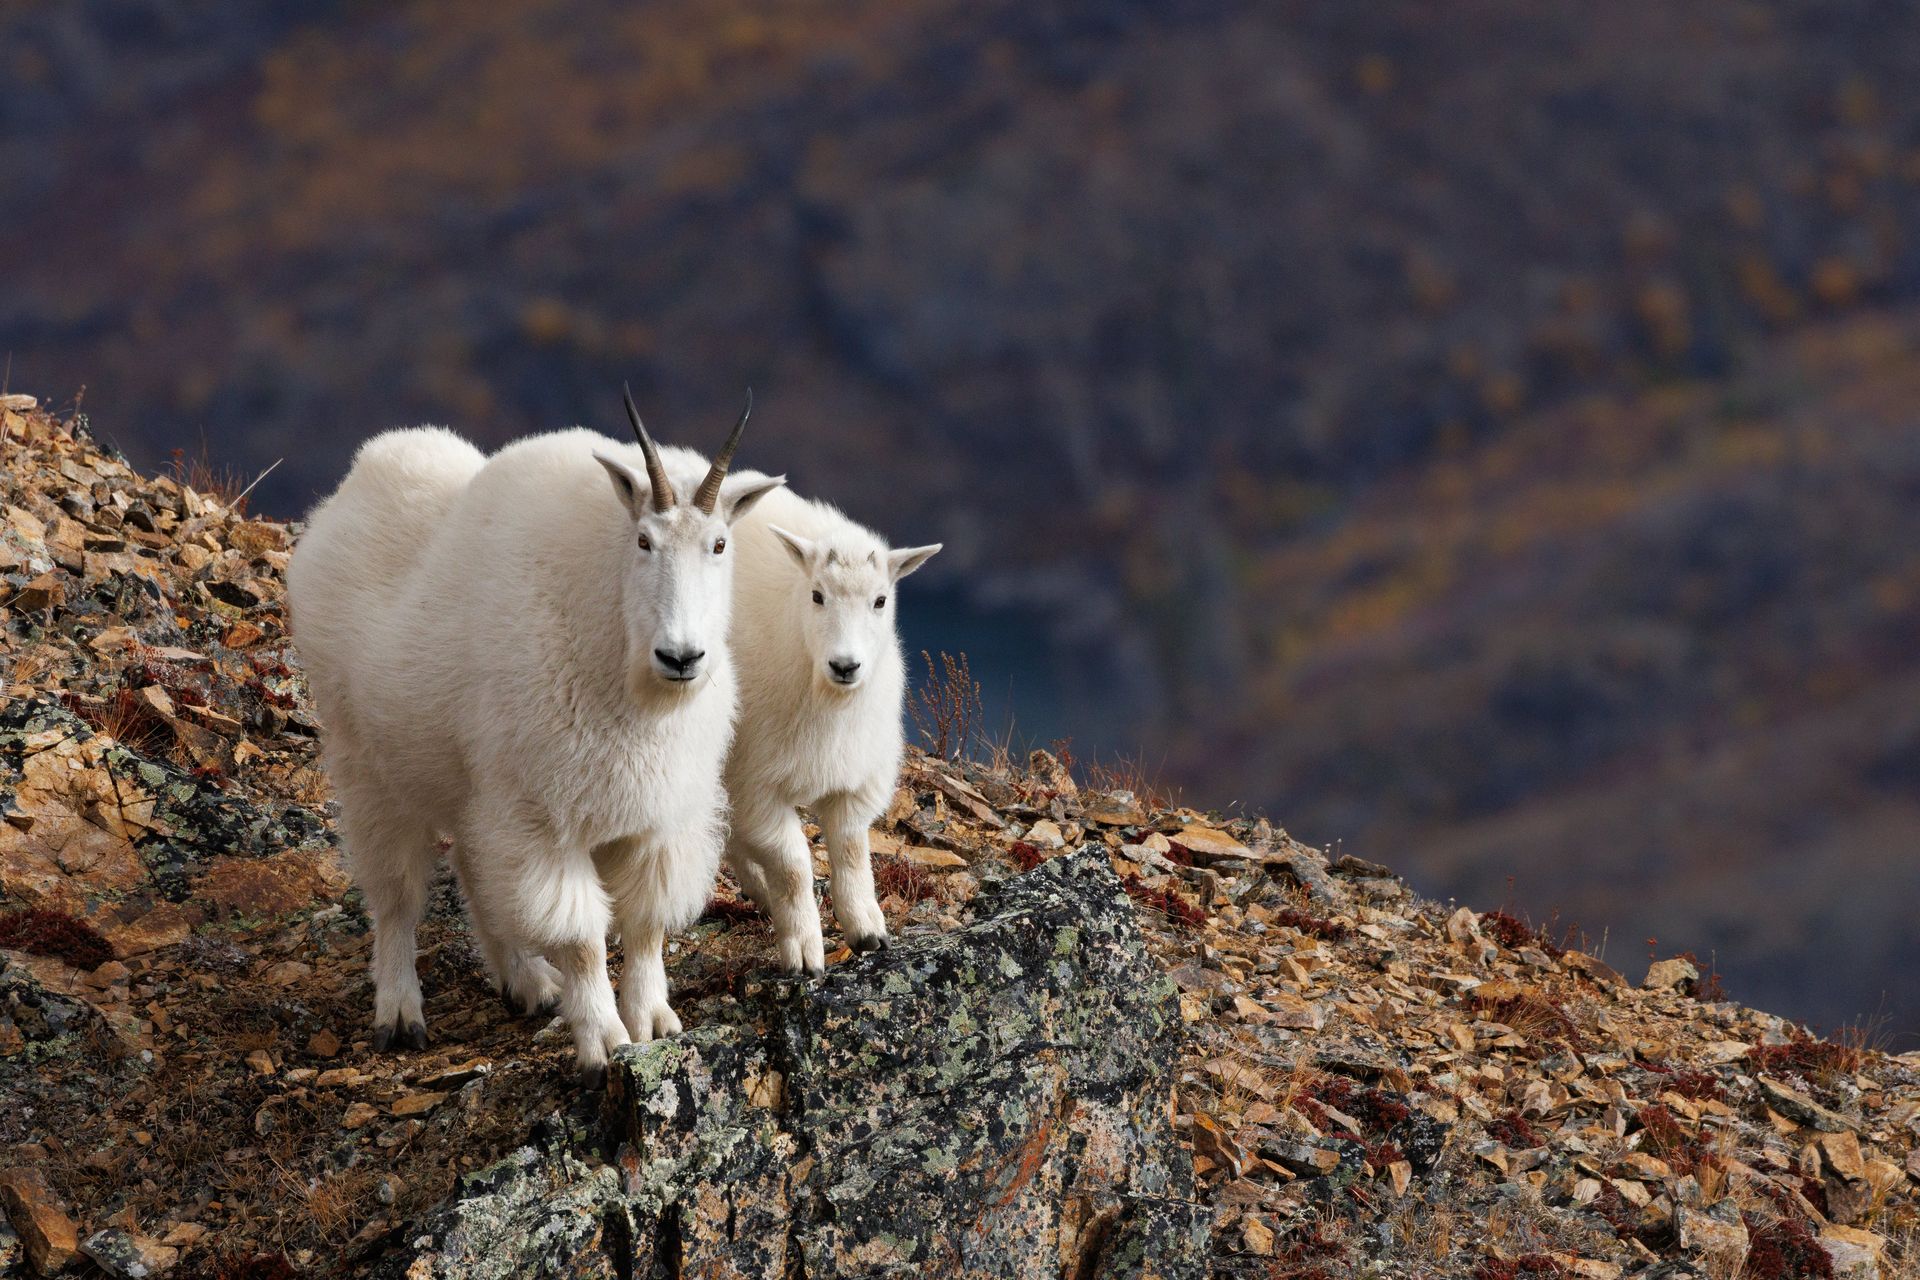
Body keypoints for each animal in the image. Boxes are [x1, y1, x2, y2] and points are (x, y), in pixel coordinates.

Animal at [284, 395, 779, 1090]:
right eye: (643, 540)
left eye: (719, 543)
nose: (681, 657)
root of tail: (354, 483)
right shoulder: (546, 819)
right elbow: (581, 937)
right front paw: (603, 1043)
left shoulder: (658, 816)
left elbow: (646, 922)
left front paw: (654, 1020)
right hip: (369, 764)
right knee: (395, 895)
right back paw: (400, 1012)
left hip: (470, 784)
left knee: (473, 865)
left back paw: (526, 983)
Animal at [714, 477, 936, 971]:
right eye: (817, 595)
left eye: (880, 600)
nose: (845, 665)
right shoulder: (757, 785)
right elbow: (794, 865)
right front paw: (802, 952)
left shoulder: (856, 776)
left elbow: (851, 849)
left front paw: (868, 931)